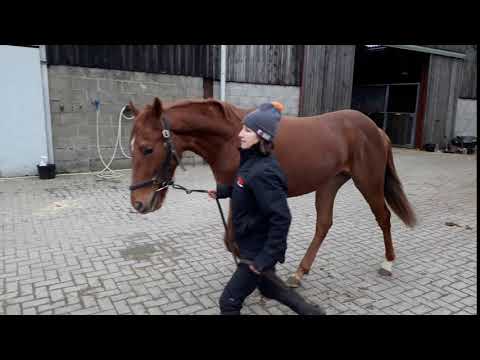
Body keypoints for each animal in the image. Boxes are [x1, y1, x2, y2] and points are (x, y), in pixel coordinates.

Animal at [127, 95, 416, 286]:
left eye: (147, 148)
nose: (138, 203)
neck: (232, 138)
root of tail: (376, 129)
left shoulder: (245, 193)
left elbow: (235, 239)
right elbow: (234, 240)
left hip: (368, 182)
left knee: (383, 218)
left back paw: (387, 263)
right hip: (329, 184)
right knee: (324, 224)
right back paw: (300, 272)